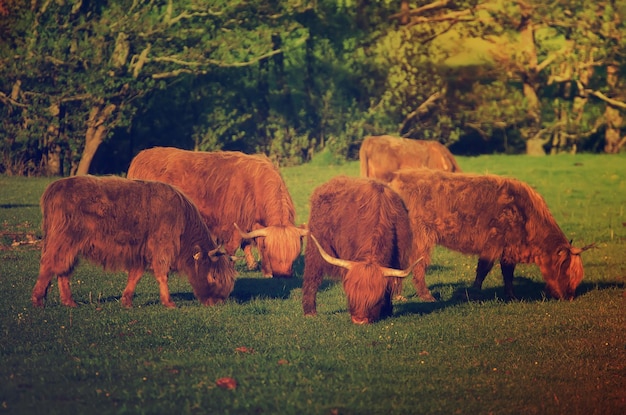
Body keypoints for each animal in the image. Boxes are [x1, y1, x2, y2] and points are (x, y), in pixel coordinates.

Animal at [29, 176, 234, 308]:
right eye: (214, 276)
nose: (217, 302)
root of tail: (56, 186)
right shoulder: (162, 247)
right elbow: (162, 275)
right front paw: (169, 302)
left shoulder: (141, 252)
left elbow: (135, 275)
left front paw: (126, 301)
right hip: (64, 239)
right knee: (50, 264)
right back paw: (38, 299)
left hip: (70, 244)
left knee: (63, 270)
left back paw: (69, 302)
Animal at [126, 147, 304, 280]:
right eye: (273, 252)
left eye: (295, 252)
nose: (283, 274)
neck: (255, 187)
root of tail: (140, 157)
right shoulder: (233, 223)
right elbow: (233, 246)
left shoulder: (251, 223)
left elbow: (249, 243)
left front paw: (257, 267)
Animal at [300, 176, 426, 324]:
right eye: (351, 295)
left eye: (375, 300)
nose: (359, 320)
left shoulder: (398, 260)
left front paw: (387, 311)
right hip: (314, 248)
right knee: (312, 276)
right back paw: (310, 312)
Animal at [386, 167, 588, 300]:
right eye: (568, 272)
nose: (569, 296)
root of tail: (396, 177)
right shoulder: (494, 241)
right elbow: (483, 268)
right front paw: (473, 292)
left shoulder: (509, 248)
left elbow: (508, 272)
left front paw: (511, 295)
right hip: (421, 237)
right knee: (417, 266)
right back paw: (426, 297)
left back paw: (398, 296)